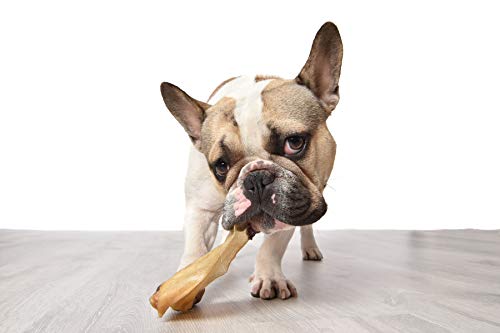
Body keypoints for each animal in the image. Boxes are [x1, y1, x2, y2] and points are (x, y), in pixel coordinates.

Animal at [160, 20, 344, 300]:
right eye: (221, 165)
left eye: (295, 142)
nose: (255, 178)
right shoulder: (200, 208)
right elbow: (195, 244)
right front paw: (186, 277)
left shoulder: (292, 205)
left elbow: (273, 244)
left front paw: (269, 277)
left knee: (306, 226)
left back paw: (310, 248)